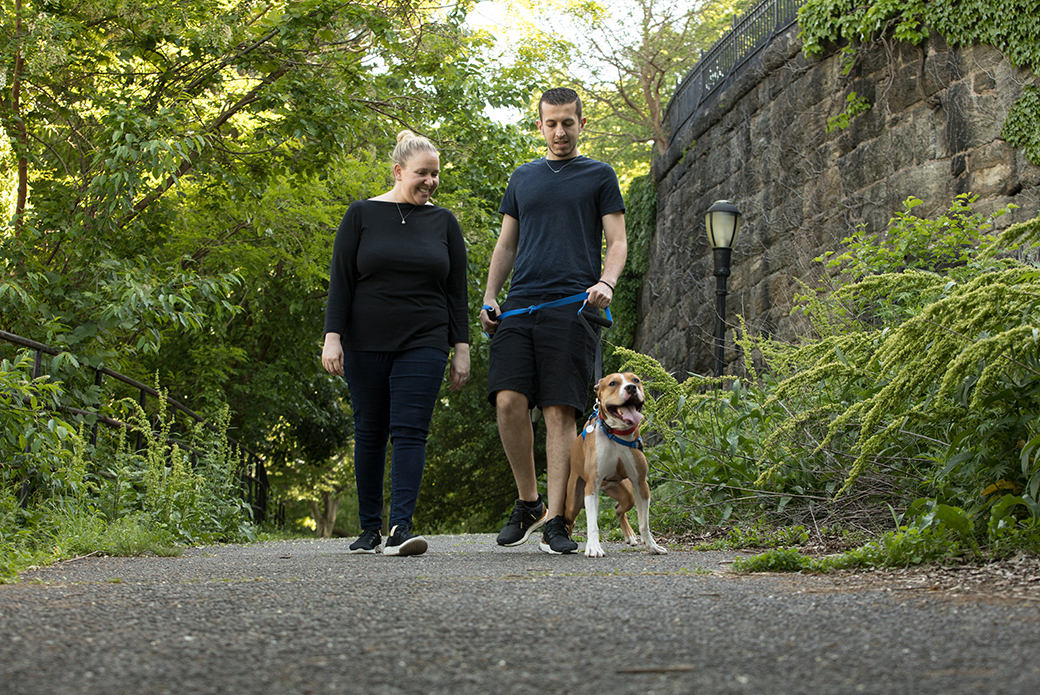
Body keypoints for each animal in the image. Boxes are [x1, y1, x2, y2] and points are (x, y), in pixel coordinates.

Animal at [565, 372, 669, 557]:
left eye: (636, 380)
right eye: (613, 383)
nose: (631, 388)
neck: (616, 433)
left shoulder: (641, 484)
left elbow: (644, 523)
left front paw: (652, 546)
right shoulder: (592, 487)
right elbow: (592, 524)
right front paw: (594, 547)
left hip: (625, 493)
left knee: (619, 508)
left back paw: (630, 536)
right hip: (573, 501)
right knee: (570, 521)